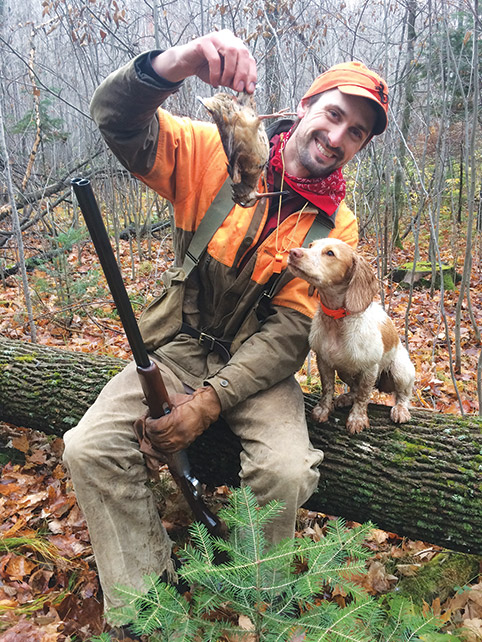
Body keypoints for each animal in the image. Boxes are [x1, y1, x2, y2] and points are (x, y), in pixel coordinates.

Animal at [288, 238, 416, 432]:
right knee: (354, 389)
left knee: (404, 394)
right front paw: (323, 410)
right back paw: (346, 398)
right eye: (311, 246)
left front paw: (357, 419)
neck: (337, 321)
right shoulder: (324, 361)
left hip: (400, 370)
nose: (293, 252)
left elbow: (363, 395)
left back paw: (400, 409)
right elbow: (328, 388)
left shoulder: (370, 368)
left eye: (330, 253)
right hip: (344, 371)